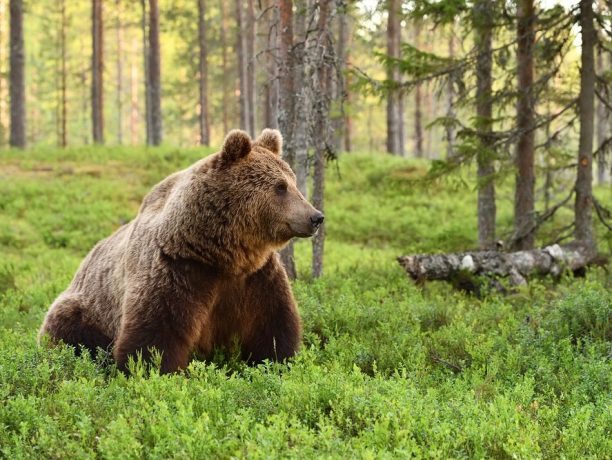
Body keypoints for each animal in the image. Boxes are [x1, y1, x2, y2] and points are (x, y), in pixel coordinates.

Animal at [40, 127, 322, 372]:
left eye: (293, 182)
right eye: (280, 187)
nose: (316, 217)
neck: (223, 255)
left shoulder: (257, 276)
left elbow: (273, 324)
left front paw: (279, 362)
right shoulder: (178, 269)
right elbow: (156, 332)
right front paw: (153, 371)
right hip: (86, 310)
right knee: (68, 329)